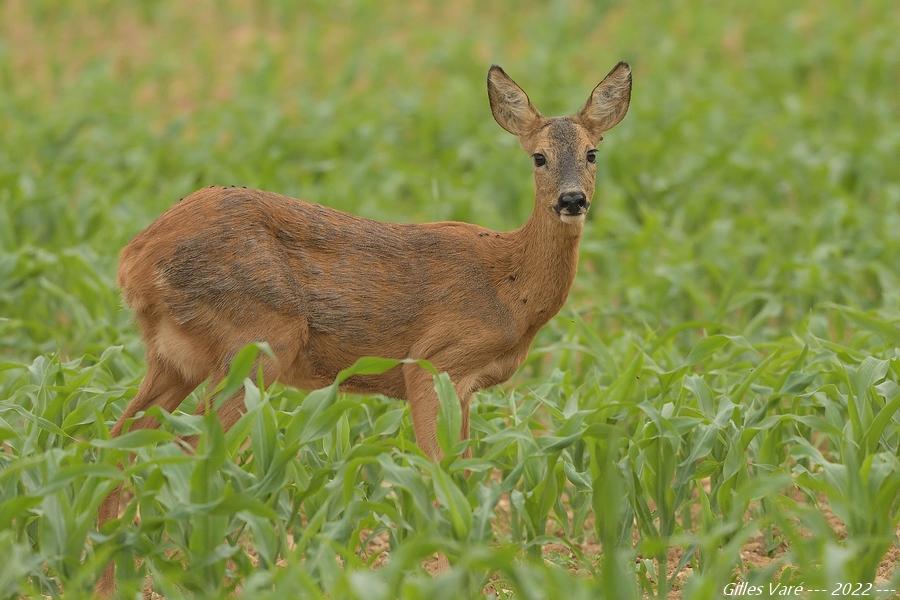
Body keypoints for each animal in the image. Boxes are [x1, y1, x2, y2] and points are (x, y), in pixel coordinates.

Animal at [96, 62, 632, 596]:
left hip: (176, 357)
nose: (572, 199)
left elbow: (465, 474)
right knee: (190, 446)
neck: (509, 287)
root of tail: (133, 260)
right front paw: (446, 573)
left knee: (122, 440)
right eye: (539, 157)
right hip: (259, 343)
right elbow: (440, 476)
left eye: (592, 152)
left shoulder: (467, 384)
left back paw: (112, 574)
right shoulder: (433, 362)